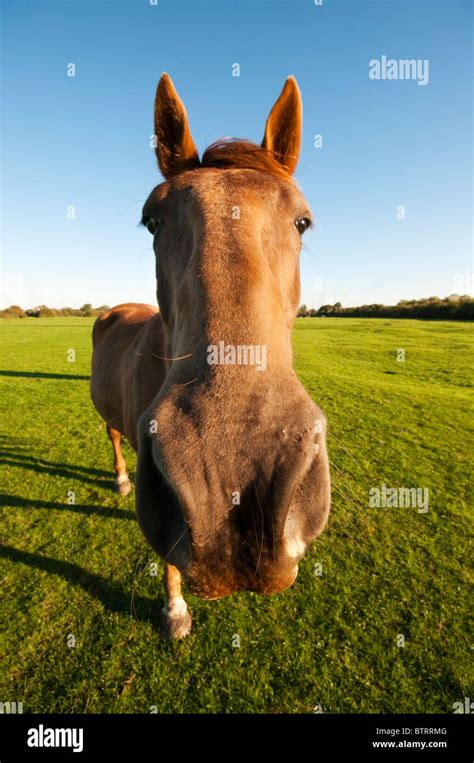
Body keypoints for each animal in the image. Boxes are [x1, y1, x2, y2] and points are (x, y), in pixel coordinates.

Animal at [90, 76, 332, 640]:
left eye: (303, 221)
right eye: (151, 220)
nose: (231, 483)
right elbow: (171, 559)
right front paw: (174, 610)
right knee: (113, 437)